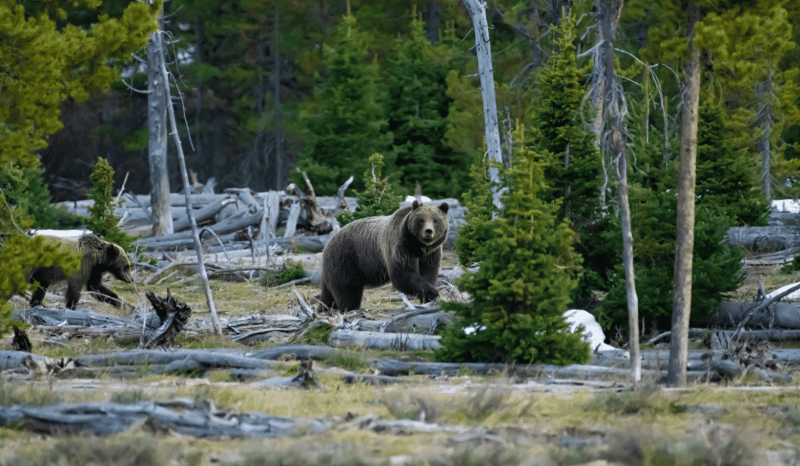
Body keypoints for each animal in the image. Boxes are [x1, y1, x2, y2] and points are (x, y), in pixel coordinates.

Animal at [320, 200, 449, 311]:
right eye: (421, 220)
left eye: (436, 220)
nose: (428, 231)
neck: (418, 246)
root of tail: (327, 245)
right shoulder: (400, 246)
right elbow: (402, 274)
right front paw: (433, 293)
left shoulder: (431, 253)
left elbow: (428, 273)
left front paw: (427, 298)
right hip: (346, 260)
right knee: (348, 289)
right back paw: (350, 308)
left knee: (329, 294)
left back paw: (325, 308)